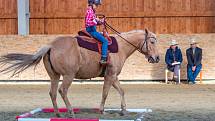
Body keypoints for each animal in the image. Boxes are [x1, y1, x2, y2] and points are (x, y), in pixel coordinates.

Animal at [0, 28, 160, 117]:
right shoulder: (110, 75)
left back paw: (58, 113)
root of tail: (51, 45)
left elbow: (122, 91)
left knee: (52, 92)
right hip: (68, 76)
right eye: (152, 42)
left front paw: (123, 110)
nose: (157, 58)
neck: (120, 47)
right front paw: (102, 110)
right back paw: (70, 112)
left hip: (54, 76)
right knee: (62, 91)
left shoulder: (114, 76)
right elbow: (105, 93)